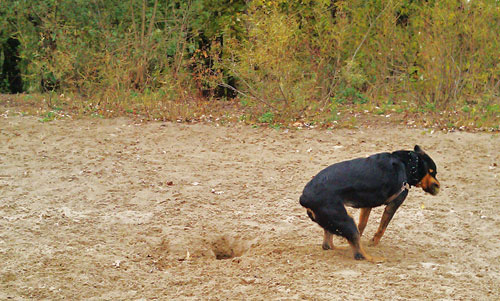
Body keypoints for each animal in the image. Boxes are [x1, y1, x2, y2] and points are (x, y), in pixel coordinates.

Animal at [298, 145, 440, 260]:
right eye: (433, 172)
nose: (438, 186)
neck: (407, 164)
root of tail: (304, 197)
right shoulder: (393, 204)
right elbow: (382, 228)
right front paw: (373, 242)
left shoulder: (367, 205)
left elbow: (362, 225)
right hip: (344, 219)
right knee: (359, 255)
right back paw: (375, 258)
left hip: (333, 221)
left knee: (329, 244)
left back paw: (344, 248)